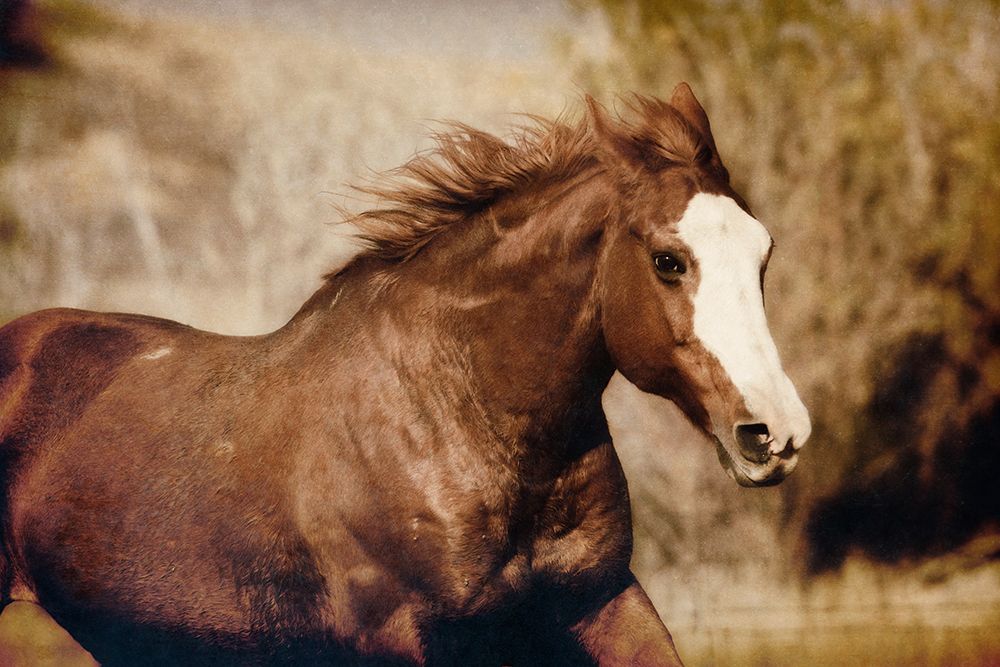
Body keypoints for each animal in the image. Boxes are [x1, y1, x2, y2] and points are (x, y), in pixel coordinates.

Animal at [0, 83, 810, 665]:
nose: (777, 432)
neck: (457, 416)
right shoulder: (404, 636)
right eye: (669, 260)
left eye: (764, 252)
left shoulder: (601, 599)